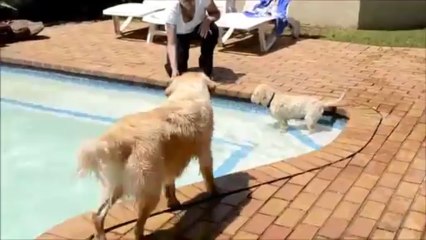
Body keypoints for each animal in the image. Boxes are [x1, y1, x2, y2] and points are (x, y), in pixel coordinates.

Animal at [76, 71, 218, 240]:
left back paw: (100, 234)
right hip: (149, 187)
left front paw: (173, 202)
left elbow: (170, 184)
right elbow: (208, 176)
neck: (187, 93)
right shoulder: (205, 150)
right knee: (138, 226)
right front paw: (214, 193)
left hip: (115, 183)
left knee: (98, 215)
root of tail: (120, 138)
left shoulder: (168, 164)